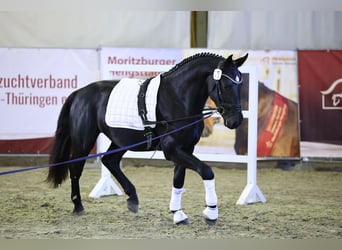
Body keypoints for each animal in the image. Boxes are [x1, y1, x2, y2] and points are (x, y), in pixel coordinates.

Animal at [46, 52, 248, 225]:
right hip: (84, 140)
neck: (178, 98)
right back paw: (78, 206)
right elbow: (206, 171)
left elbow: (178, 180)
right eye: (226, 85)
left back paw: (133, 199)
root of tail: (79, 93)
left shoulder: (185, 148)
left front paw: (178, 214)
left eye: (240, 85)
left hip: (121, 141)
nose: (235, 121)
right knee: (76, 167)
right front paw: (211, 212)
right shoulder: (172, 149)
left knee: (109, 161)